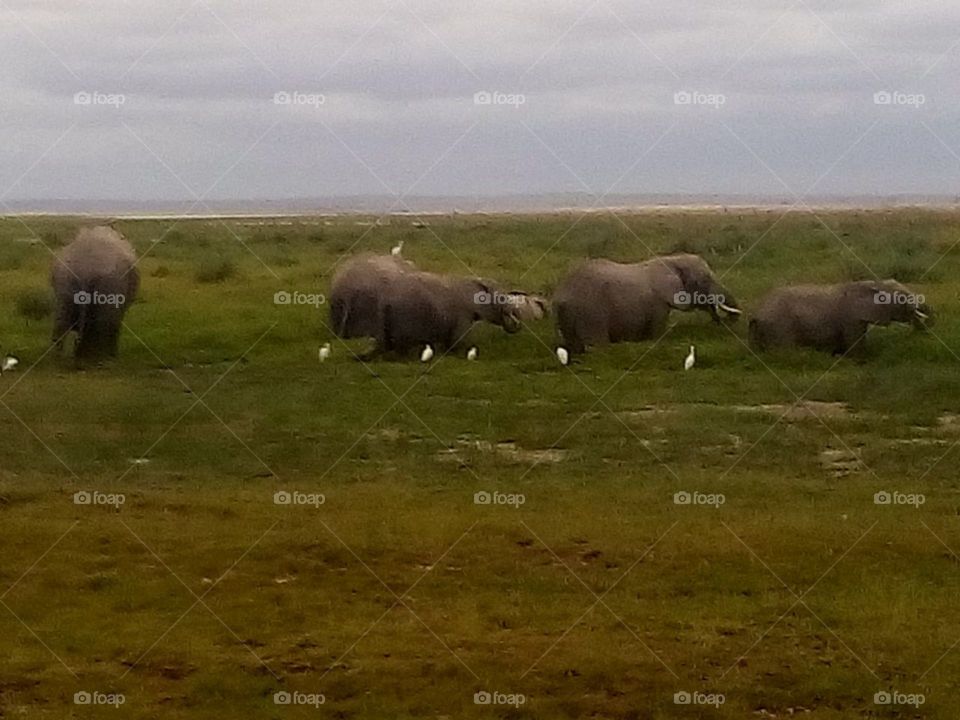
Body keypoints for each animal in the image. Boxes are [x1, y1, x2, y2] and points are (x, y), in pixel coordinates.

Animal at [51, 225, 139, 360]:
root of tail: (85, 269)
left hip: (64, 286)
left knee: (61, 322)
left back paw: (57, 357)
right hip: (110, 288)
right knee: (106, 324)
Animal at [552, 254, 741, 353]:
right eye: (706, 280)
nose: (723, 321)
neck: (673, 260)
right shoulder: (658, 304)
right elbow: (657, 331)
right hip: (590, 311)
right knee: (596, 342)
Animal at [749, 279, 932, 354]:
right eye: (902, 298)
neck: (873, 283)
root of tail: (756, 313)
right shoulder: (850, 317)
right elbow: (855, 343)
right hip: (780, 326)